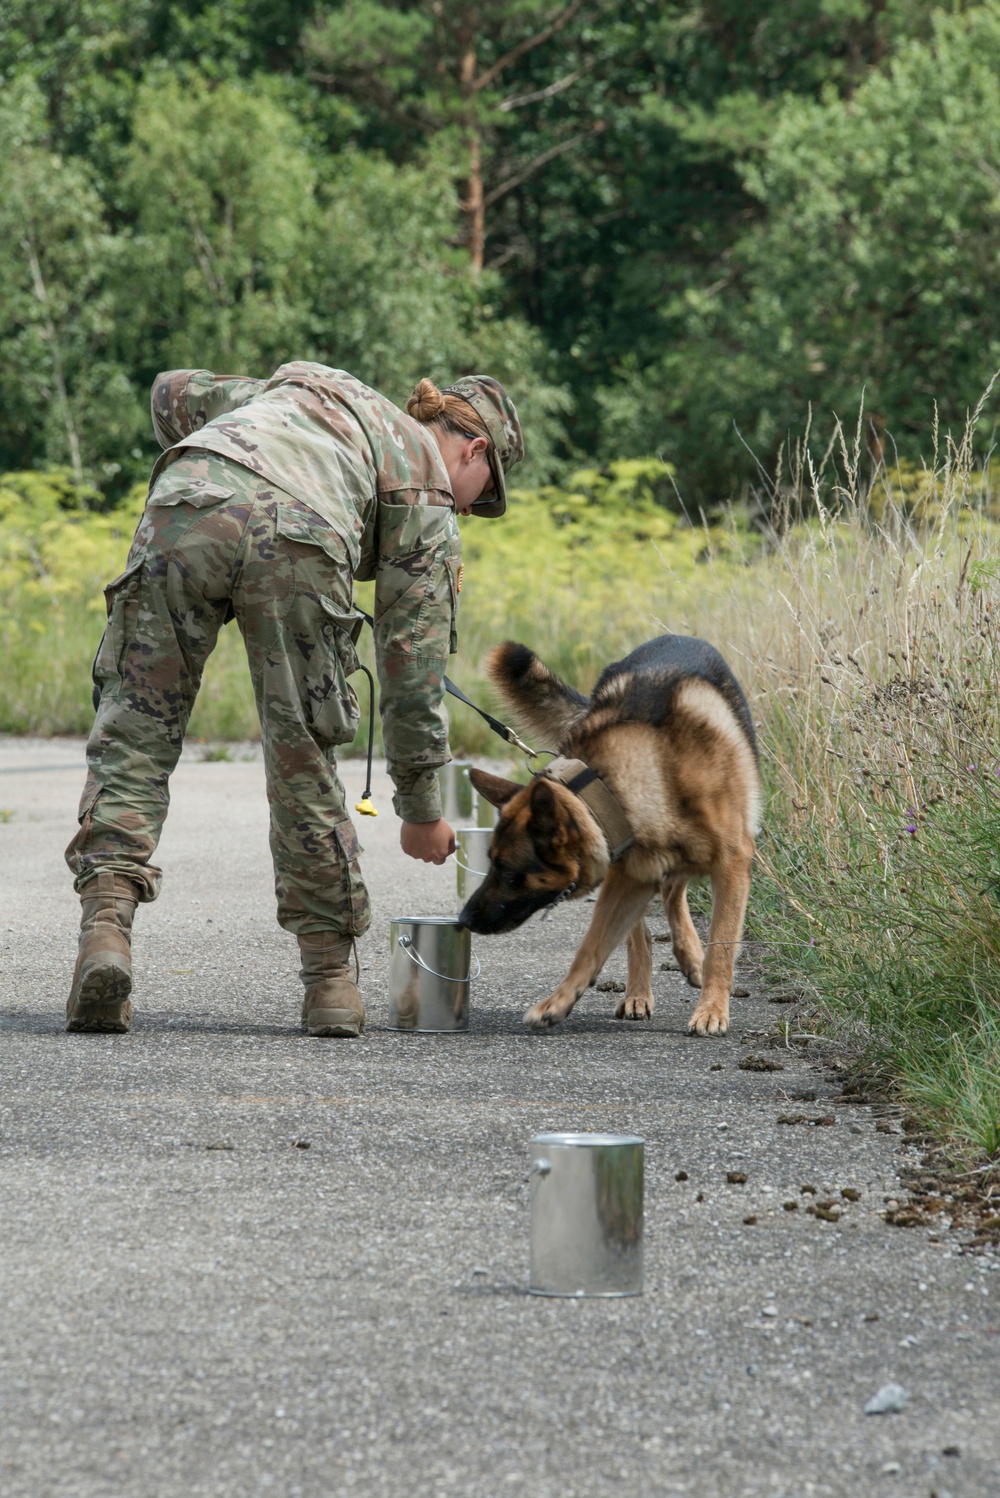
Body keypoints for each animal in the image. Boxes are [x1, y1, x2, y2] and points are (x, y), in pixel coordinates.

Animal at [458, 638, 760, 1036]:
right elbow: (592, 946)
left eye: (507, 871)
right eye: (490, 863)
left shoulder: (732, 864)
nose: (463, 919)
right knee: (644, 929)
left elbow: (722, 945)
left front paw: (711, 1009)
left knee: (673, 894)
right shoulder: (629, 873)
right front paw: (558, 1002)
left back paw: (691, 958)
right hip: (633, 867)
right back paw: (639, 993)